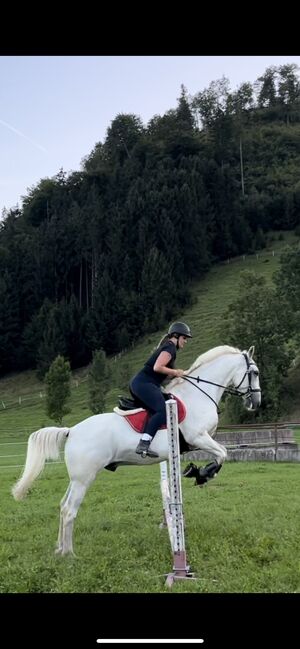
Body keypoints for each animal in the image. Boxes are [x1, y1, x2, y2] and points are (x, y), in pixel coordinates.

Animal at [11, 344, 260, 552]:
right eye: (255, 373)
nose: (255, 403)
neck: (198, 395)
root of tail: (71, 430)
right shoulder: (198, 437)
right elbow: (222, 454)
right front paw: (202, 474)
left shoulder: (184, 448)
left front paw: (194, 474)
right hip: (84, 478)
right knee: (69, 510)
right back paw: (69, 555)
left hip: (76, 478)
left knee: (63, 506)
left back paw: (60, 549)